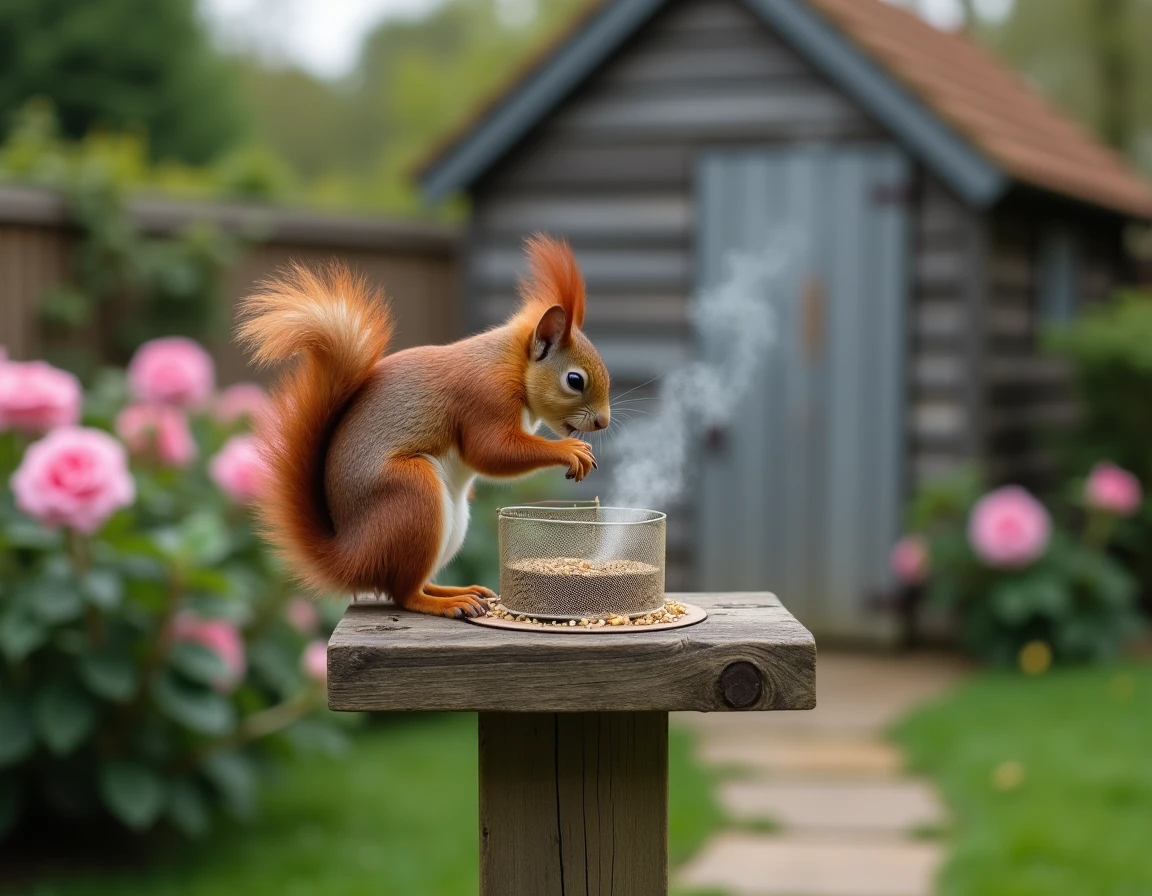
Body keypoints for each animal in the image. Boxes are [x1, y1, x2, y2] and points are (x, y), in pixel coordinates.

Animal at [237, 235, 610, 618]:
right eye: (574, 380)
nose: (603, 421)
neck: (514, 365)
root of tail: (352, 559)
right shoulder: (484, 398)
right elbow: (491, 452)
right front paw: (570, 451)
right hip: (413, 493)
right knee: (404, 594)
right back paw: (447, 603)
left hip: (451, 523)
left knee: (413, 581)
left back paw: (458, 590)